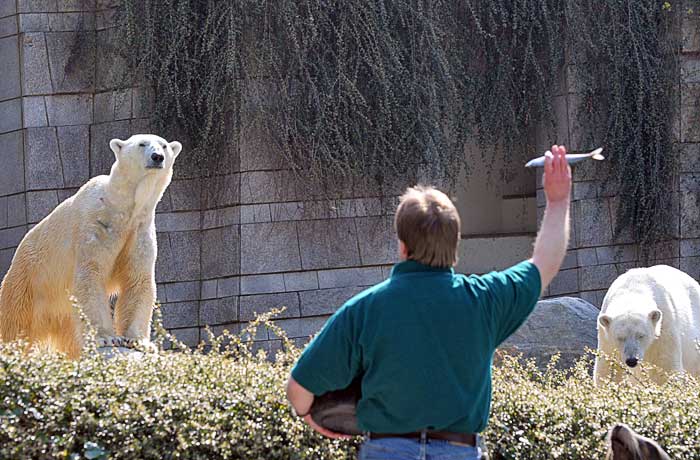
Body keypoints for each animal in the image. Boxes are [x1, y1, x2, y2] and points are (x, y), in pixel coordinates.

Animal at [0, 134, 181, 358]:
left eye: (164, 145)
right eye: (142, 144)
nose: (157, 157)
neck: (123, 209)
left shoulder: (140, 230)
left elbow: (137, 279)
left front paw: (139, 341)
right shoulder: (95, 227)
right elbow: (91, 276)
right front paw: (106, 337)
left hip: (61, 309)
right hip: (30, 280)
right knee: (14, 322)